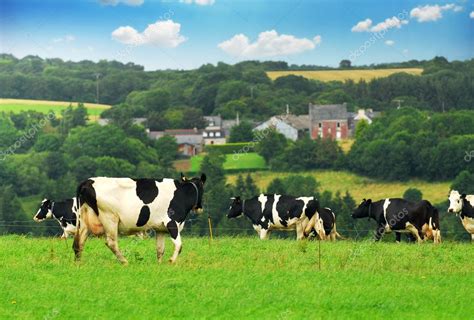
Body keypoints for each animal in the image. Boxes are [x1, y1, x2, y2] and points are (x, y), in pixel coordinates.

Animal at [73, 174, 206, 264]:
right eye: (202, 189)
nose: (199, 208)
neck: (181, 193)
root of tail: (88, 181)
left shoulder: (160, 229)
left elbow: (160, 249)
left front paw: (159, 265)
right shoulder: (172, 222)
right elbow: (179, 245)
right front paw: (171, 261)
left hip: (84, 220)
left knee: (78, 243)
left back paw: (78, 263)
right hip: (109, 218)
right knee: (111, 242)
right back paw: (124, 261)